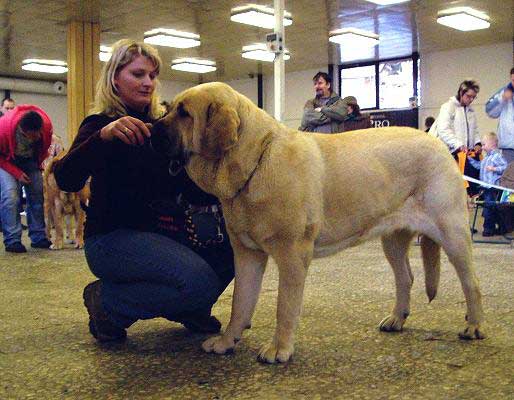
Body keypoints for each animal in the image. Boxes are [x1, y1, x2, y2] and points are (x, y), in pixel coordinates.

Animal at [150, 83, 482, 364]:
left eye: (184, 113)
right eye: (169, 108)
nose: (151, 129)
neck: (255, 159)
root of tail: (439, 145)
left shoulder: (292, 255)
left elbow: (284, 305)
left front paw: (279, 349)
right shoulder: (247, 255)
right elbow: (241, 302)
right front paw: (226, 341)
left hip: (452, 233)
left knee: (470, 282)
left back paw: (474, 326)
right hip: (393, 239)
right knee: (406, 277)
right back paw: (397, 318)